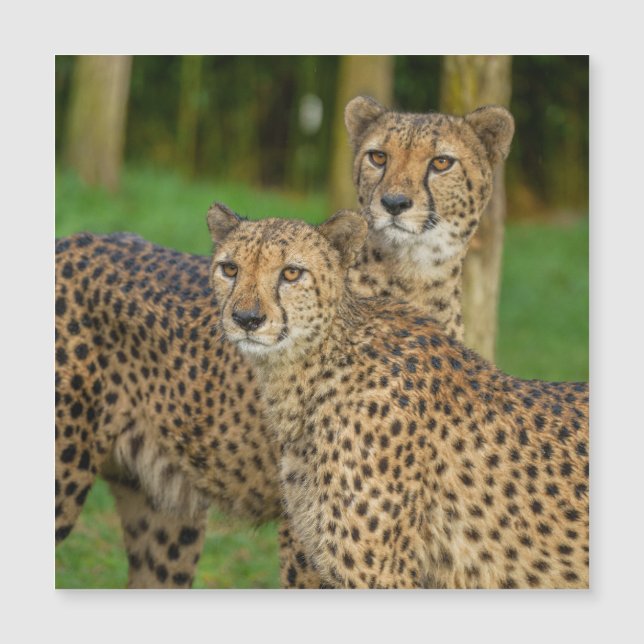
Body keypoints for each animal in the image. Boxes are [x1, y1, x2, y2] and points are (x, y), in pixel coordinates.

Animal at [55, 96, 514, 588]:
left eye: (441, 162)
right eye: (378, 156)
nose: (393, 203)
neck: (413, 280)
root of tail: (72, 239)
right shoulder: (306, 533)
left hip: (163, 515)